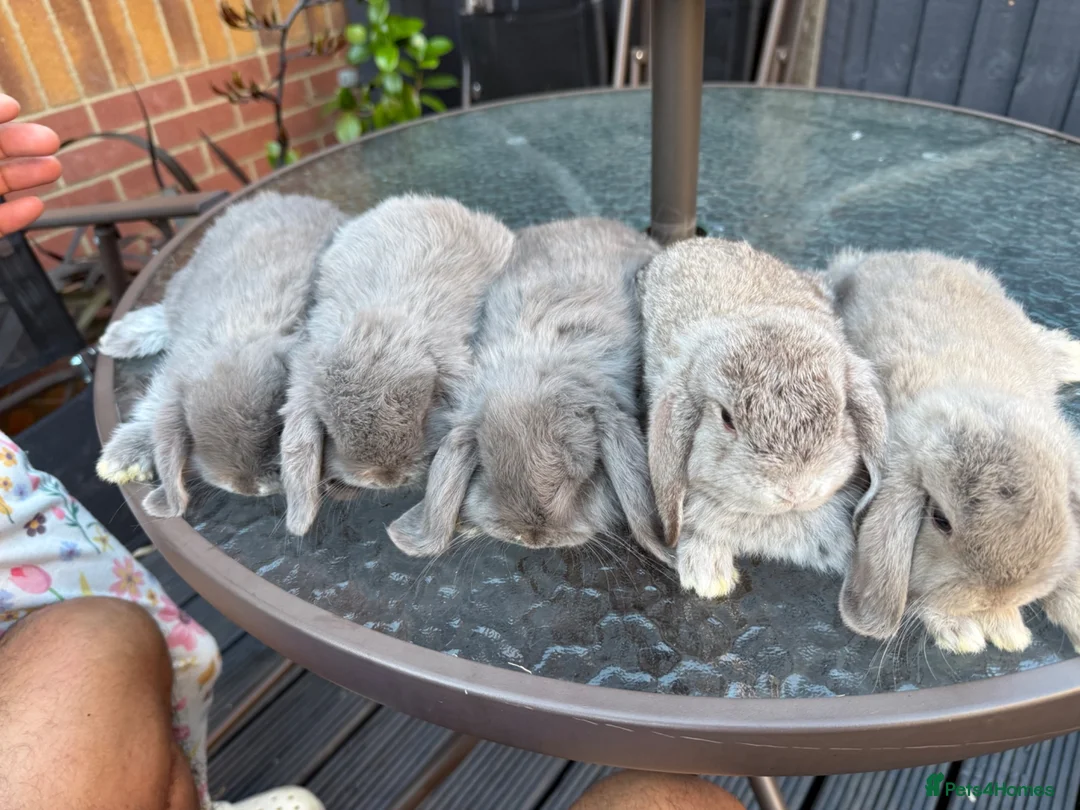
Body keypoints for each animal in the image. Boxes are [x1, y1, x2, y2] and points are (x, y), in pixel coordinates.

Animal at [97, 191, 347, 519]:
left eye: (279, 427)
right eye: (194, 431)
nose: (246, 488)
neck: (240, 339)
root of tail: (283, 197)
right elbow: (151, 411)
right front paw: (120, 459)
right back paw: (117, 337)